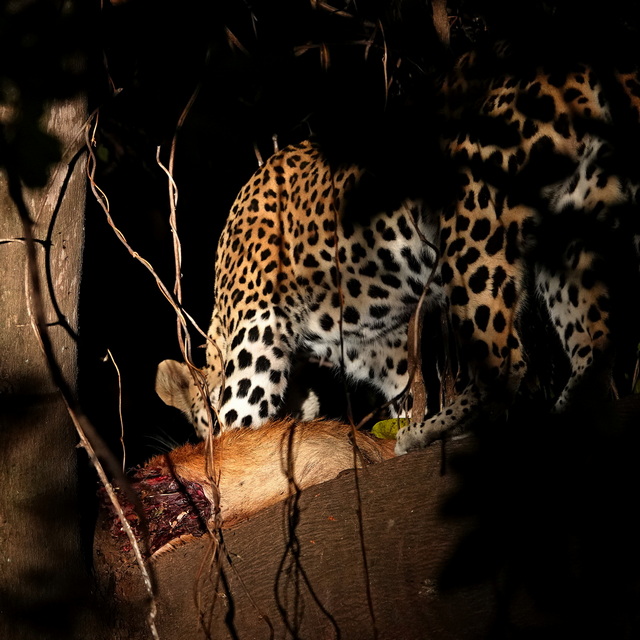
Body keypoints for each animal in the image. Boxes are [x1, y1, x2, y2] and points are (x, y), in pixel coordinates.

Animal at [156, 44, 640, 454]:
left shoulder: (258, 326)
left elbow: (239, 415)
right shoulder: (378, 346)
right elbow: (406, 387)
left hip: (475, 225)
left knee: (508, 363)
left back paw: (432, 432)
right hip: (576, 224)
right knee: (594, 341)